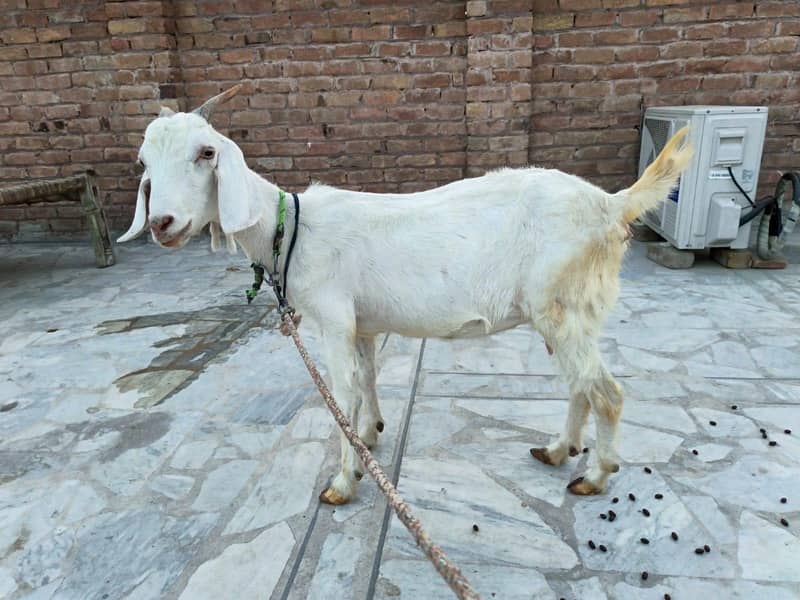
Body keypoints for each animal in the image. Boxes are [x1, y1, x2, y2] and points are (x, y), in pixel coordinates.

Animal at [119, 86, 692, 505]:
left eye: (207, 152)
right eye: (144, 160)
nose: (162, 223)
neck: (292, 228)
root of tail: (611, 205)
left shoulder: (332, 320)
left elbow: (341, 393)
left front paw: (343, 482)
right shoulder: (363, 324)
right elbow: (367, 379)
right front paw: (371, 435)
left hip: (562, 306)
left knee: (606, 392)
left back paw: (595, 475)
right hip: (566, 311)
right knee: (580, 385)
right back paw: (557, 451)